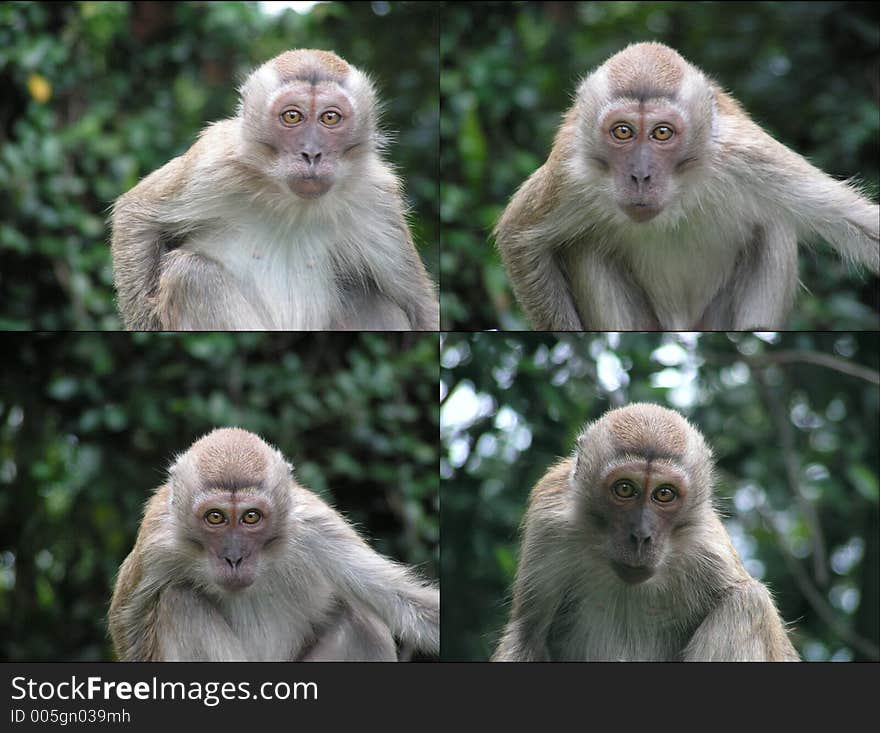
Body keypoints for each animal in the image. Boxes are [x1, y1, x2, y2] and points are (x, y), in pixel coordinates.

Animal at [108, 426, 438, 660]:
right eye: (215, 517)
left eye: (251, 517)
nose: (234, 558)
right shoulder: (158, 545)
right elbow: (128, 627)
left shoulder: (314, 528)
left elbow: (407, 602)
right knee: (180, 600)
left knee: (361, 621)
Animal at [111, 48, 438, 328]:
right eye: (292, 116)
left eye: (330, 117)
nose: (312, 153)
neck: (292, 203)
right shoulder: (214, 161)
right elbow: (137, 216)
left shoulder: (375, 196)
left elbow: (419, 305)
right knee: (191, 274)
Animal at [496, 43, 880, 328]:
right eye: (623, 131)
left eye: (662, 132)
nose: (640, 175)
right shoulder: (571, 171)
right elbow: (519, 238)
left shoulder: (747, 156)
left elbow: (860, 224)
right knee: (585, 245)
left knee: (774, 228)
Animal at [498, 404, 800, 660]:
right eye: (624, 489)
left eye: (664, 494)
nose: (641, 536)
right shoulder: (550, 521)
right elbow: (528, 633)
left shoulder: (708, 550)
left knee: (747, 602)